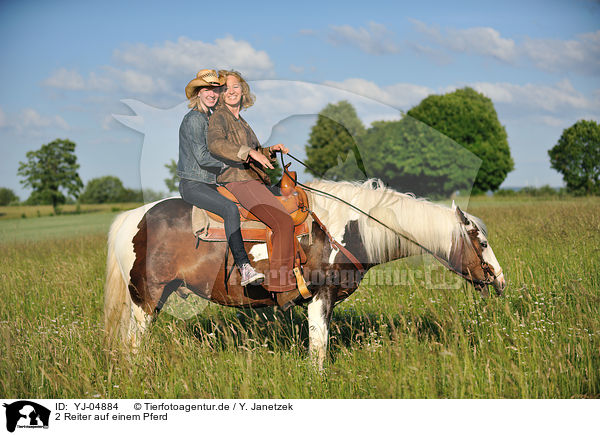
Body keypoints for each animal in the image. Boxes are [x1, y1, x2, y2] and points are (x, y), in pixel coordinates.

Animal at [104, 179, 506, 370]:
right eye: (483, 242)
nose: (500, 281)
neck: (346, 229)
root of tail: (133, 217)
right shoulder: (319, 297)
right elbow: (319, 346)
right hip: (145, 300)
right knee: (134, 344)